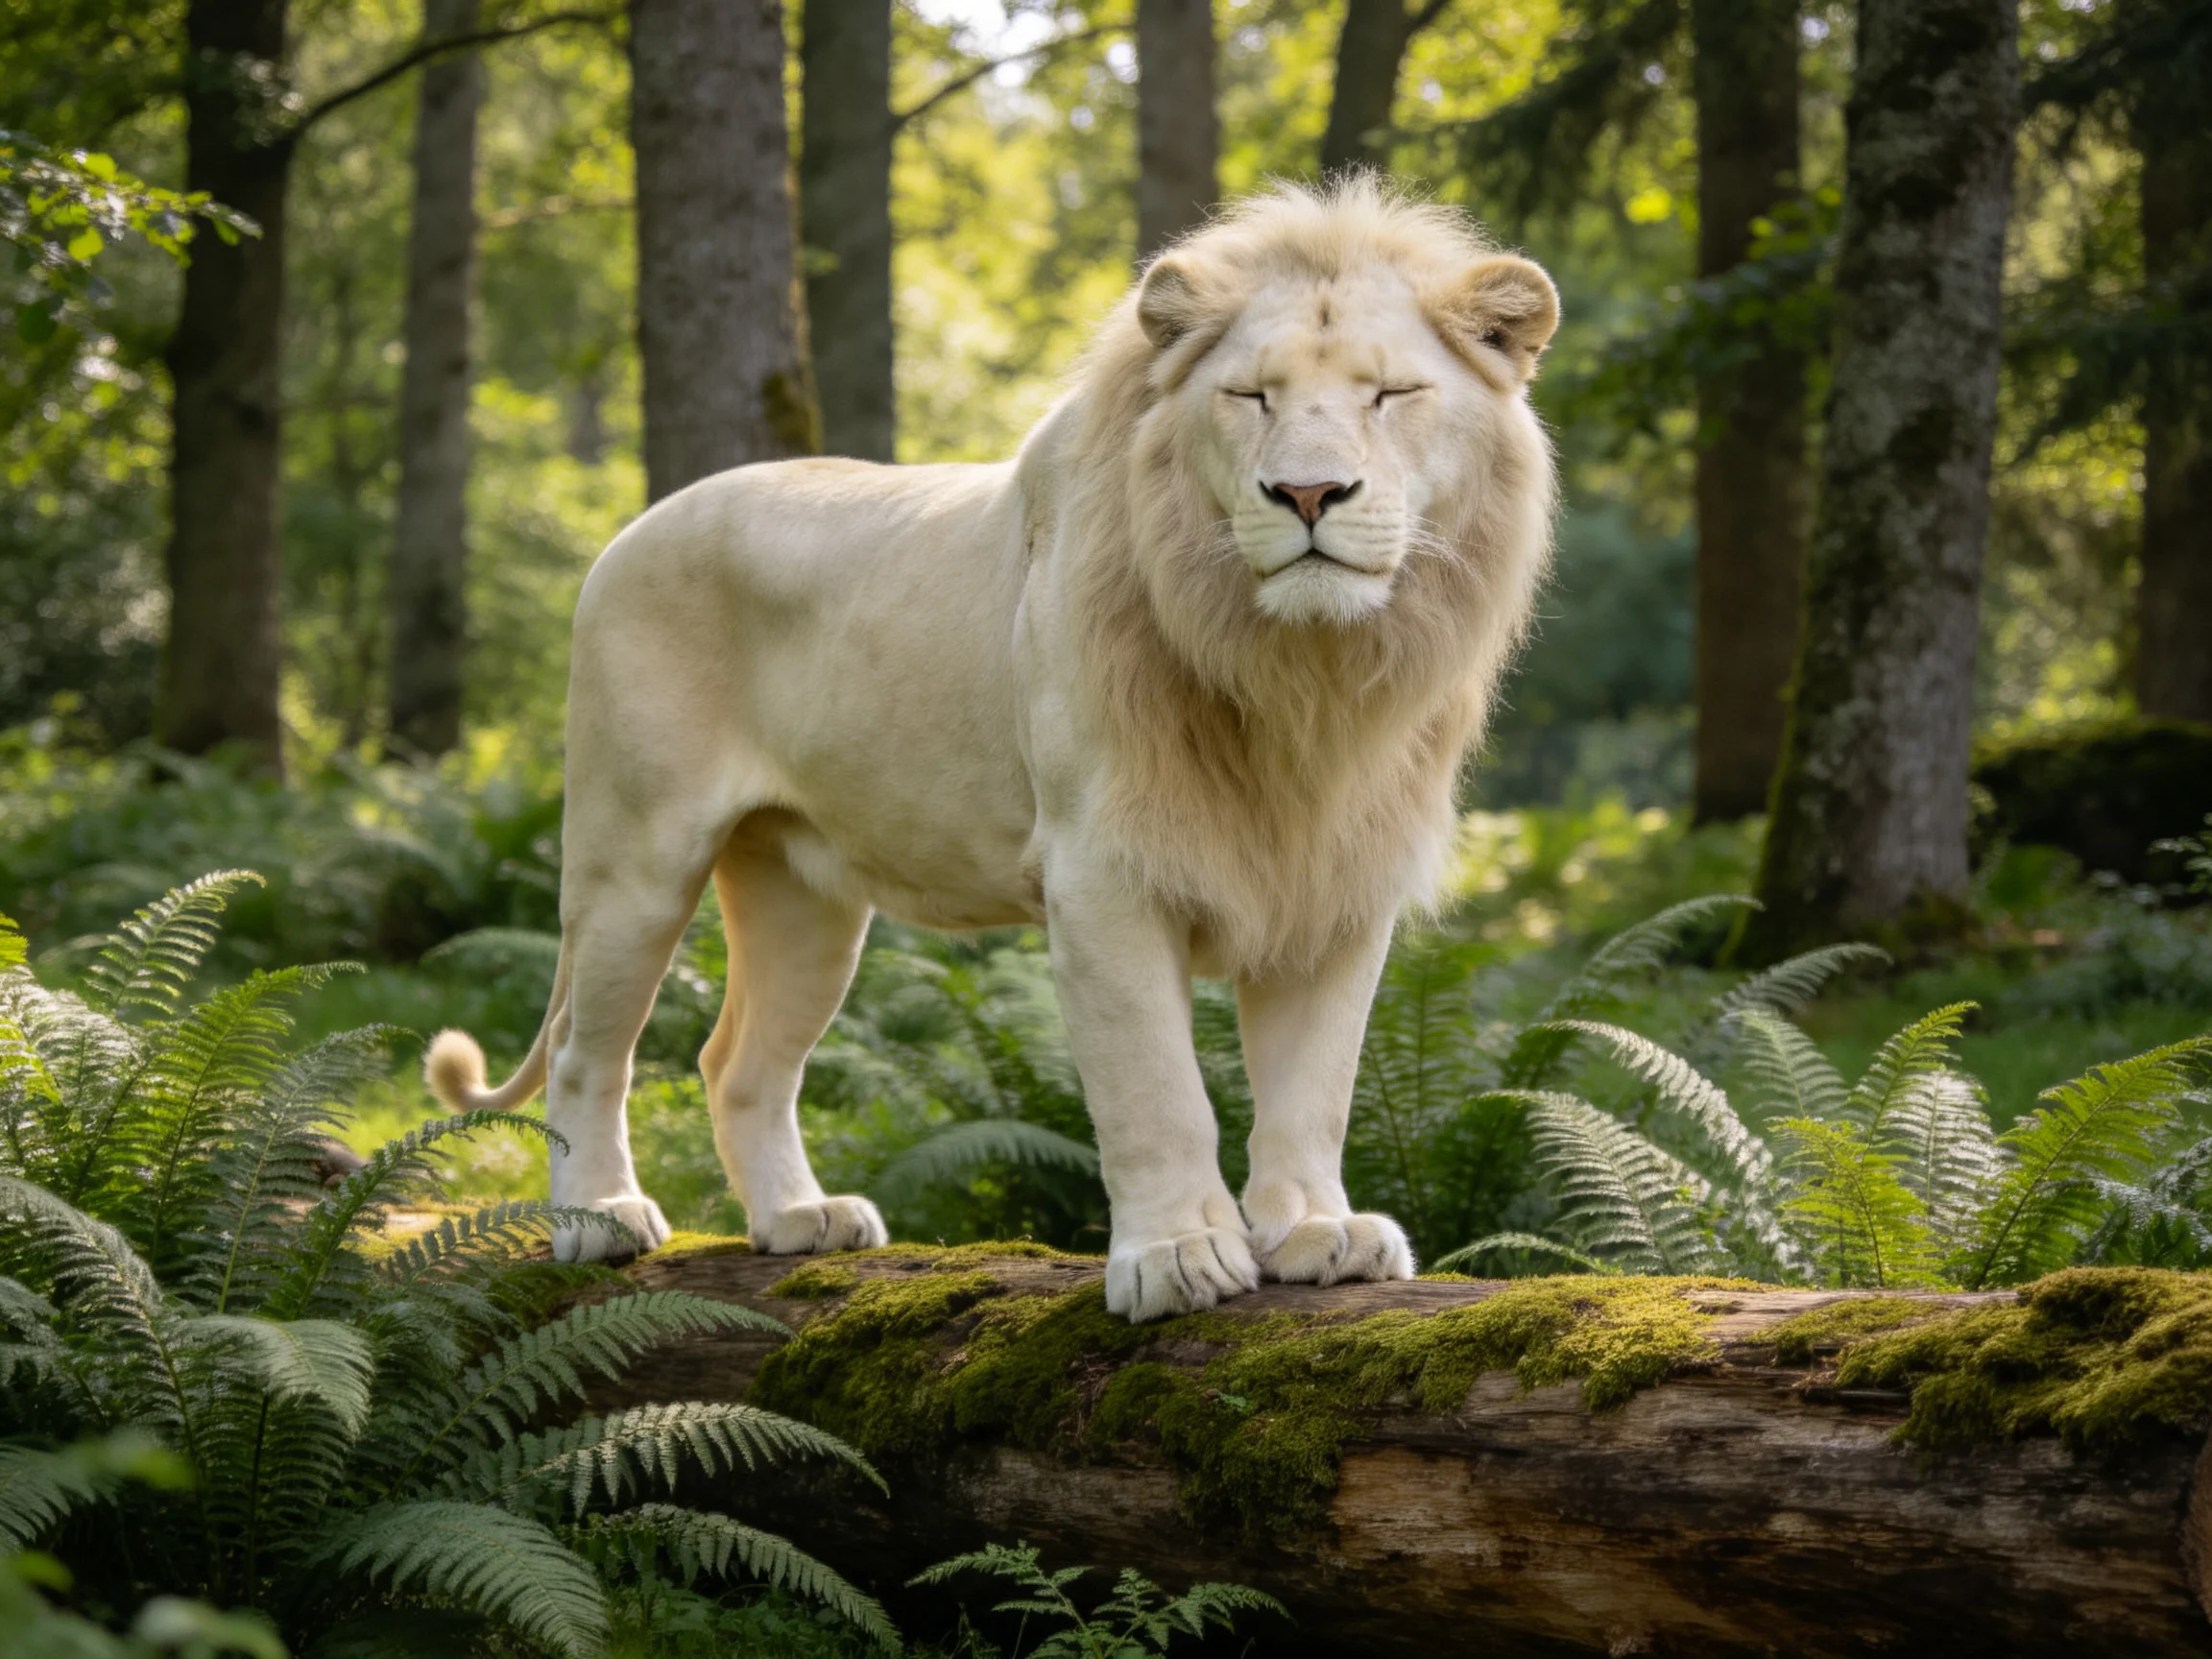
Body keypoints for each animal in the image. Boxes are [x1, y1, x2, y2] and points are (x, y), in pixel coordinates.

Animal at [426, 177, 1560, 1321]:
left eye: (1393, 394)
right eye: (1251, 398)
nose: (1310, 495)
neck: (1300, 674)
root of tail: (629, 531)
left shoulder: (1334, 886)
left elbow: (1313, 1090)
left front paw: (1317, 1232)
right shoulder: (1100, 872)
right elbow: (1157, 1091)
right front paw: (1177, 1256)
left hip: (806, 897)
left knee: (736, 1061)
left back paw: (801, 1219)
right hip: (636, 857)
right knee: (589, 1051)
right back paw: (600, 1219)